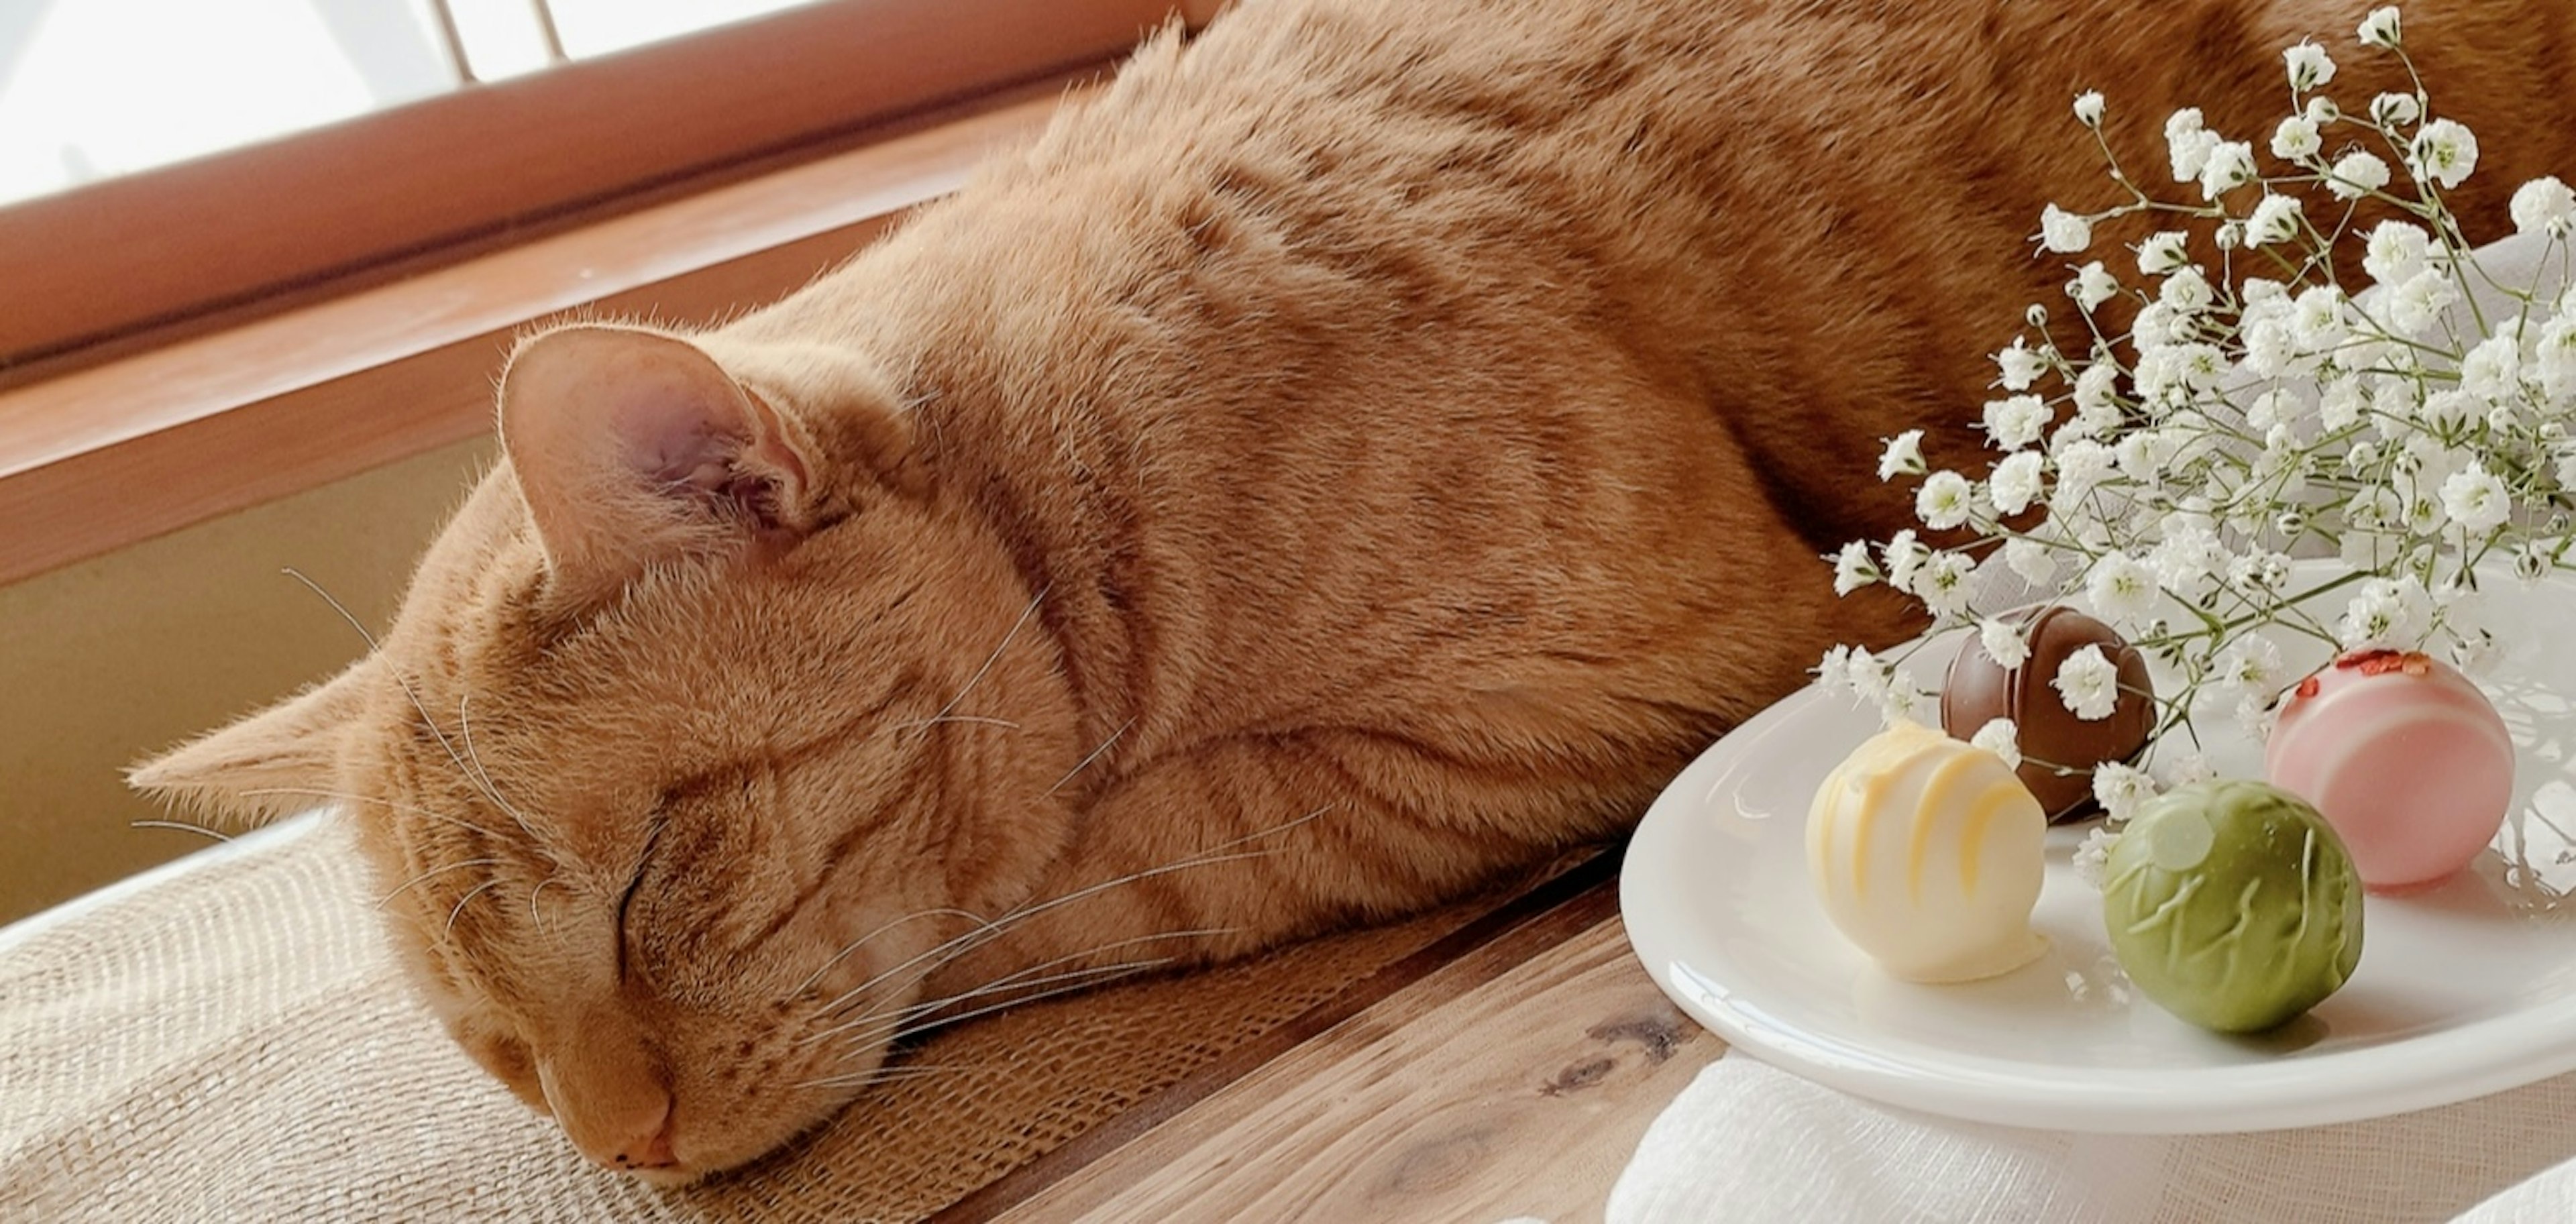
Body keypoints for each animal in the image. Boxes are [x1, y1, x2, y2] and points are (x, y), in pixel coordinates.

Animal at [125, 0, 2576, 1185]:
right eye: (489, 1040)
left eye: (648, 887)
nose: (615, 1146)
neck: (1056, 485)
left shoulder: (1601, 679)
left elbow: (1111, 865)